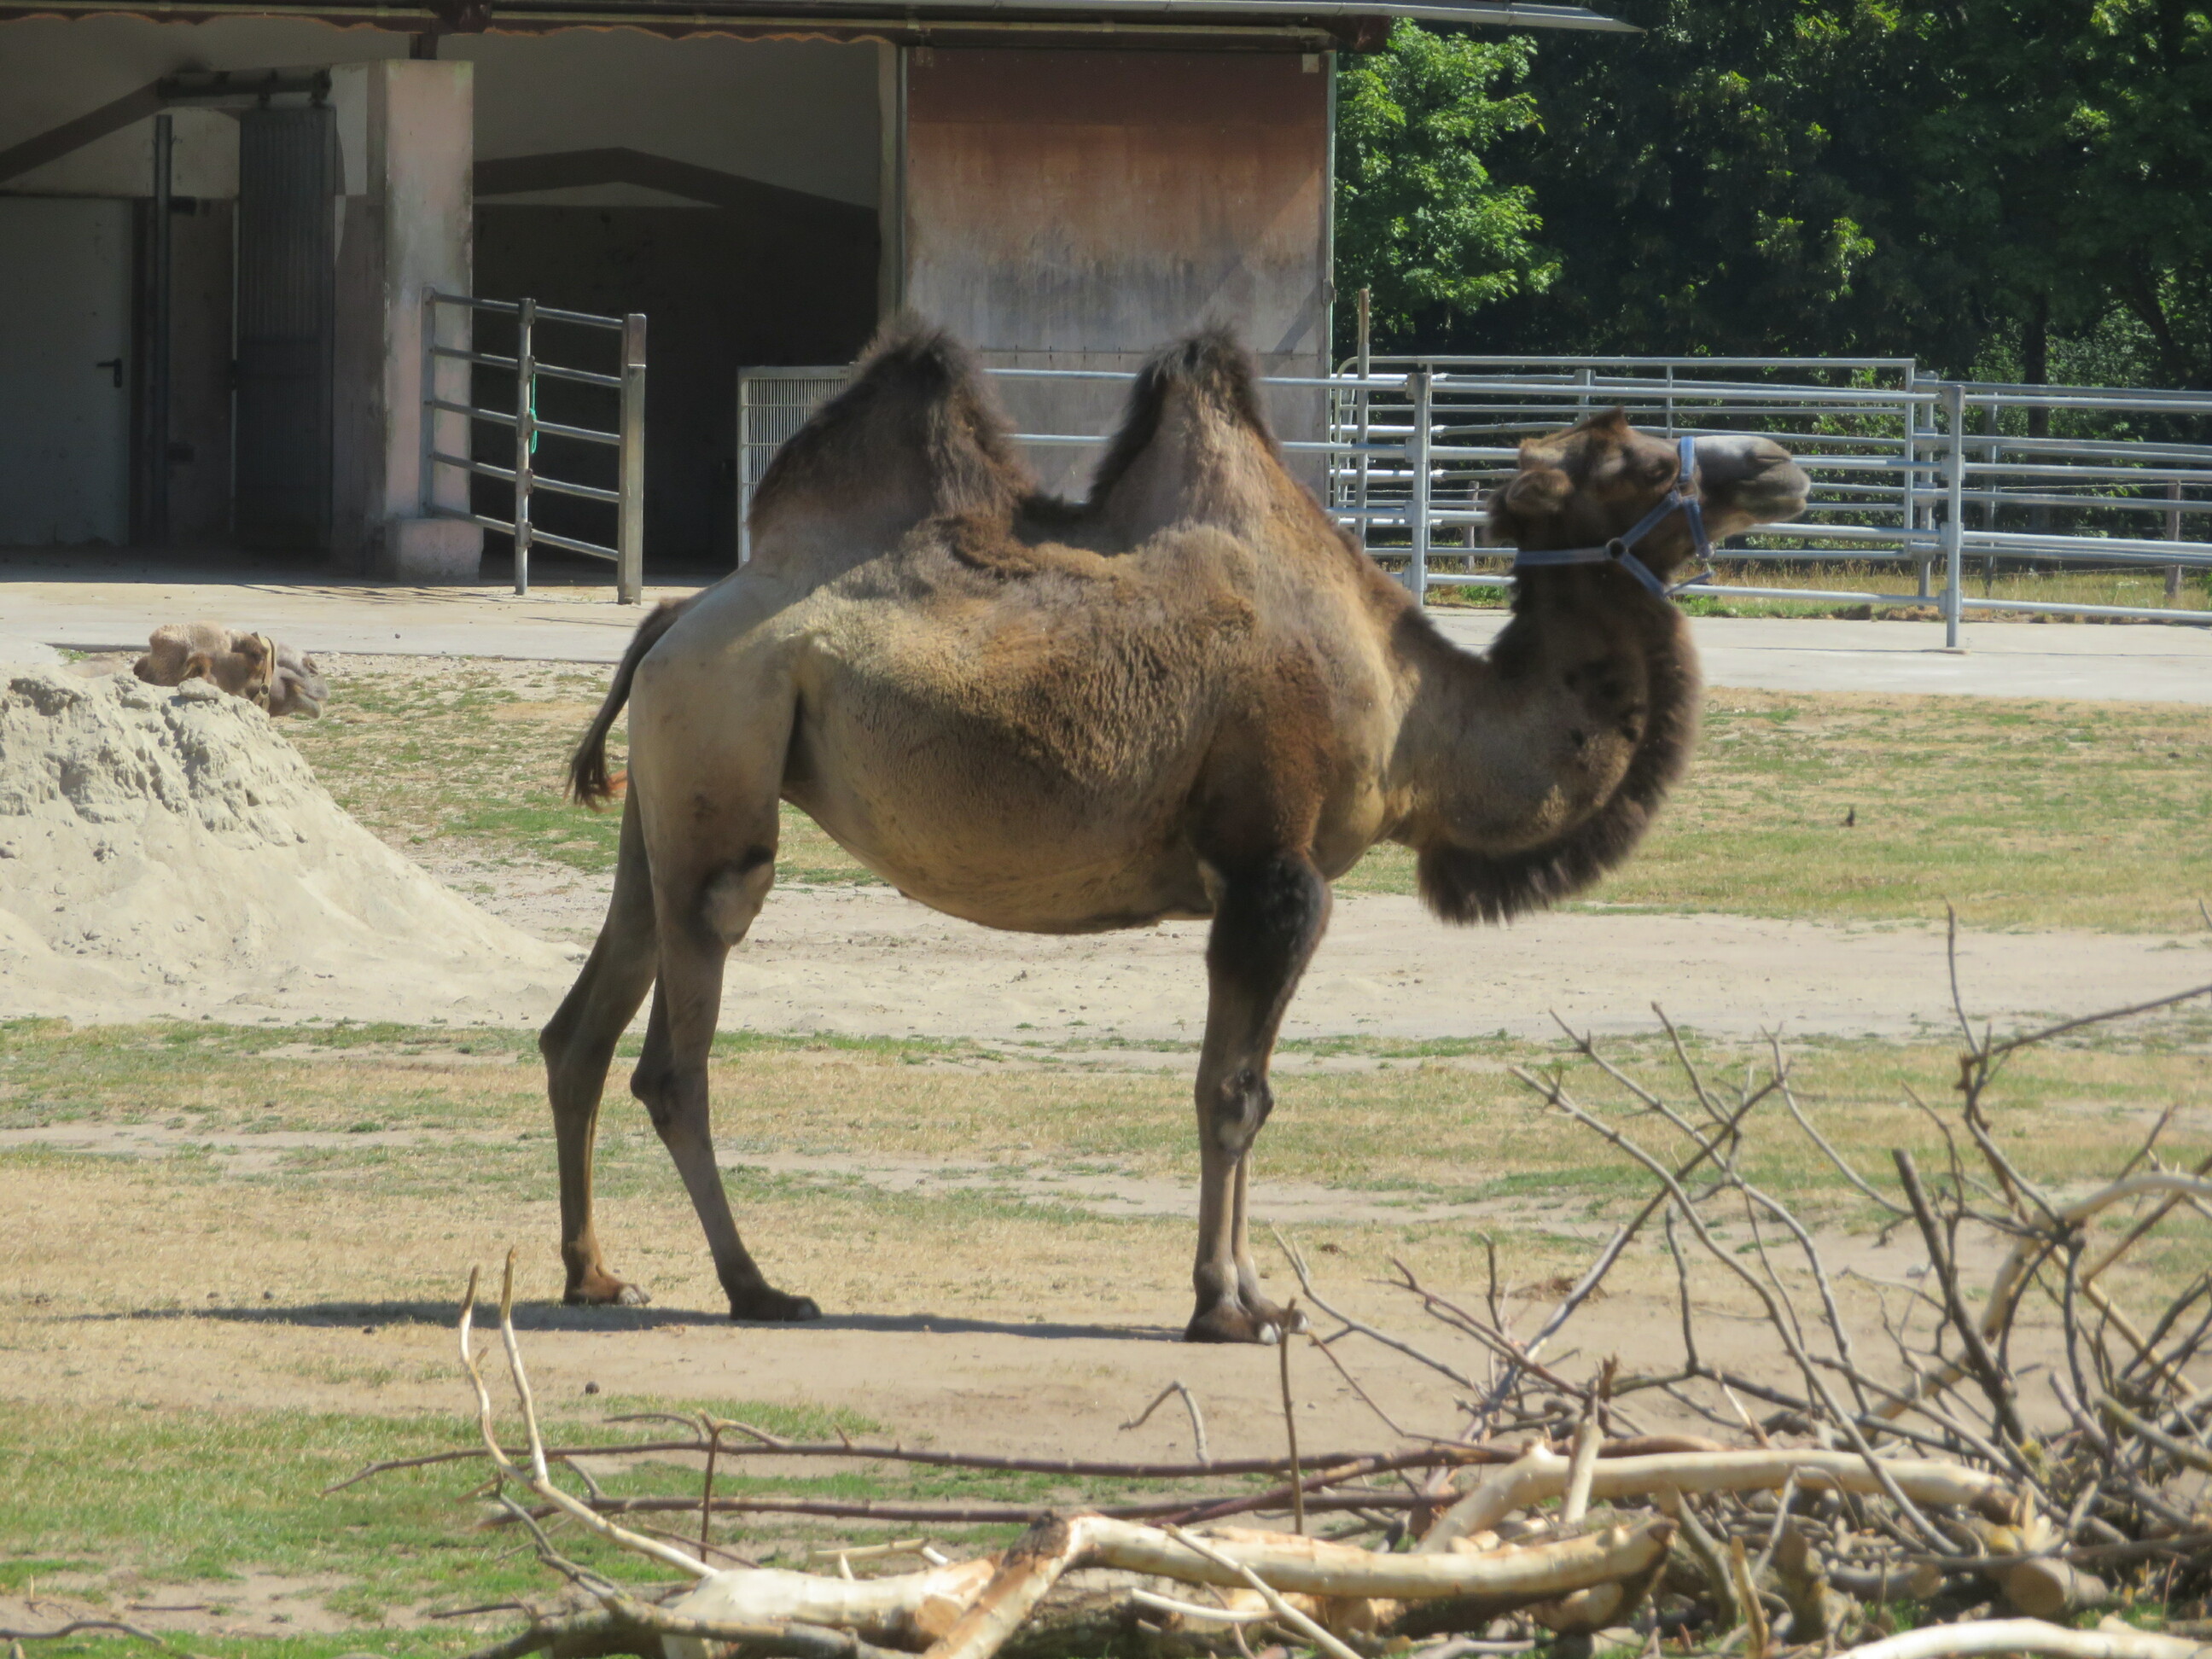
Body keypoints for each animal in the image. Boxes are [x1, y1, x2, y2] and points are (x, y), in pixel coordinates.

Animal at [543, 322, 1809, 1343]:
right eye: (1638, 459)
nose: (1781, 463)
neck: (1417, 720)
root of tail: (674, 617)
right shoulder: (1273, 871)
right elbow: (1231, 1094)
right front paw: (1222, 1307)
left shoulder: (1273, 881)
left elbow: (1250, 1090)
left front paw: (1261, 1296)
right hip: (725, 749)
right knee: (676, 1050)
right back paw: (757, 1288)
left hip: (671, 789)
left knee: (586, 1022)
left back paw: (596, 1274)